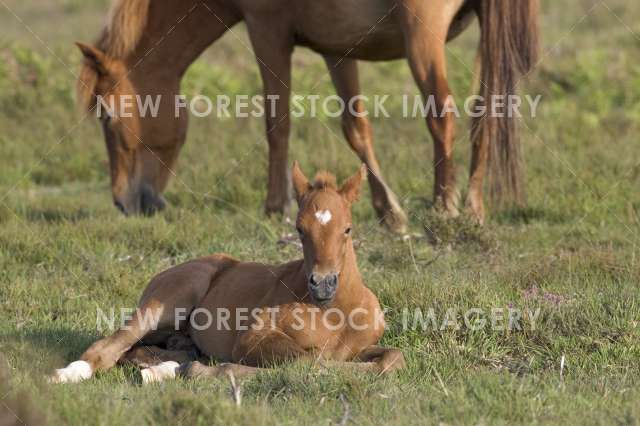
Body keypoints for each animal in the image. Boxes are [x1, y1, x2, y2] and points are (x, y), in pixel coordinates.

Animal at [50, 163, 406, 383]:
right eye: (299, 229)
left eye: (347, 228)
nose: (323, 284)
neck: (337, 313)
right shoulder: (252, 337)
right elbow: (306, 361)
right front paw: (206, 371)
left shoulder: (360, 349)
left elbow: (391, 359)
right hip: (171, 298)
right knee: (112, 345)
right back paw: (69, 374)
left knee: (144, 350)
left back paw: (163, 367)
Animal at [76, 0, 538, 229]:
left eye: (109, 118)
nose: (123, 202)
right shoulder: (339, 47)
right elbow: (356, 129)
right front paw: (388, 211)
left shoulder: (266, 30)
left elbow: (276, 122)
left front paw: (273, 206)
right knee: (486, 113)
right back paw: (473, 206)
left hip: (422, 39)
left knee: (442, 115)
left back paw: (445, 206)